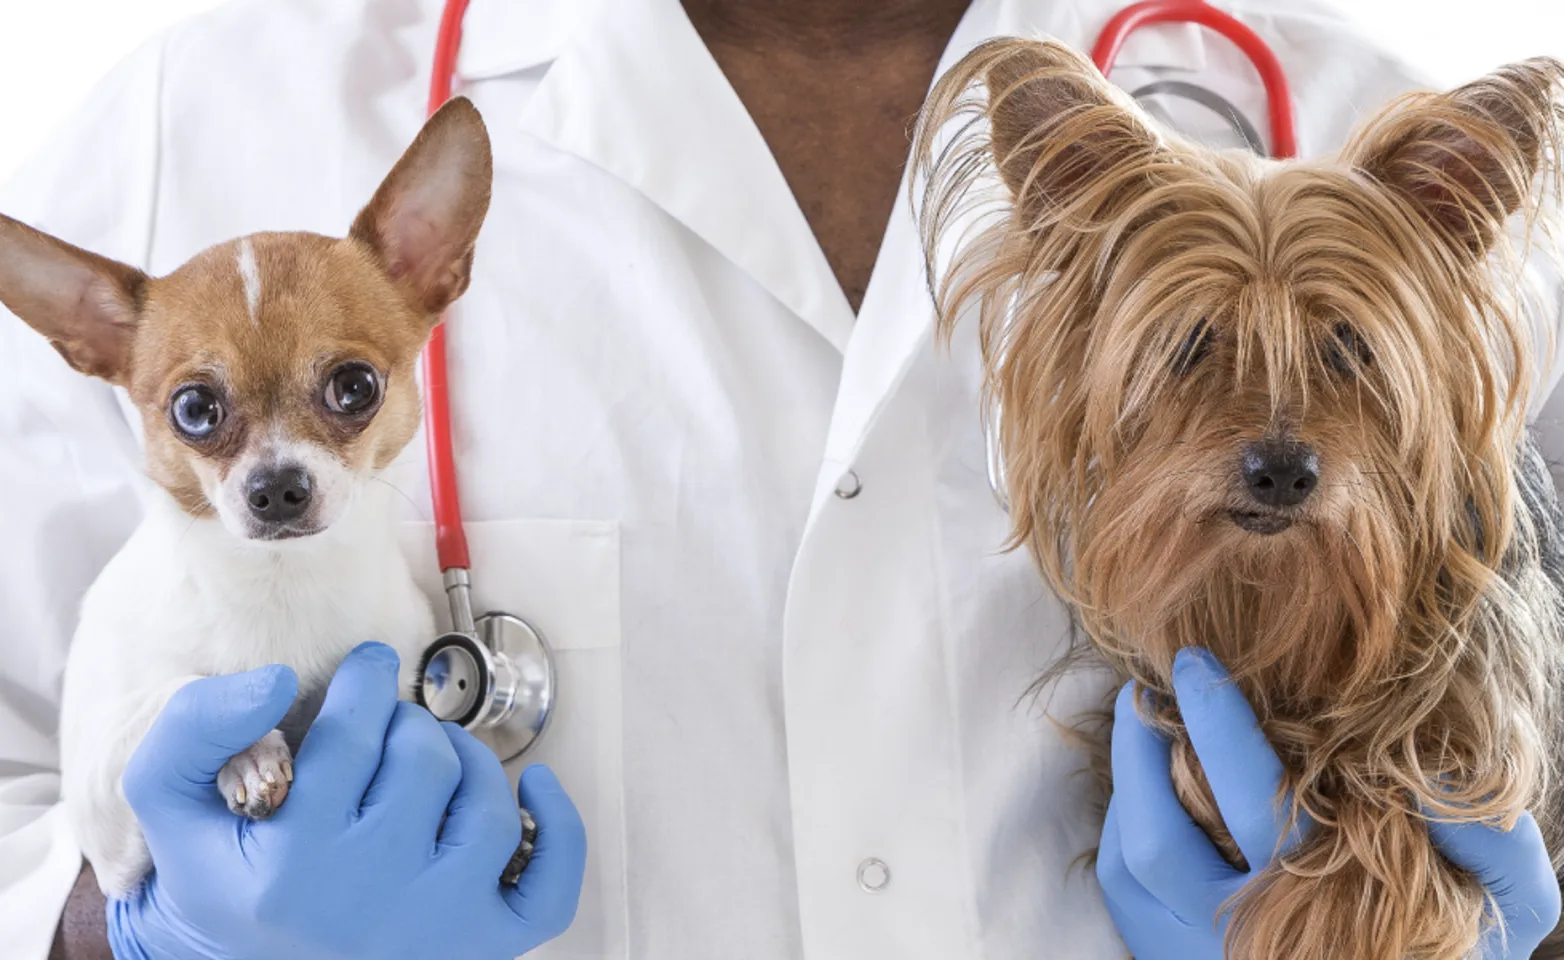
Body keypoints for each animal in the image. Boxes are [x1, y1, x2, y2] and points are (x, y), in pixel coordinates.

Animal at [913, 35, 1564, 956]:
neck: (1283, 602)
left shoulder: (1483, 708)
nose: (1282, 471)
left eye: (1349, 344)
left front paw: (1341, 894)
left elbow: (1423, 781)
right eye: (1190, 339)